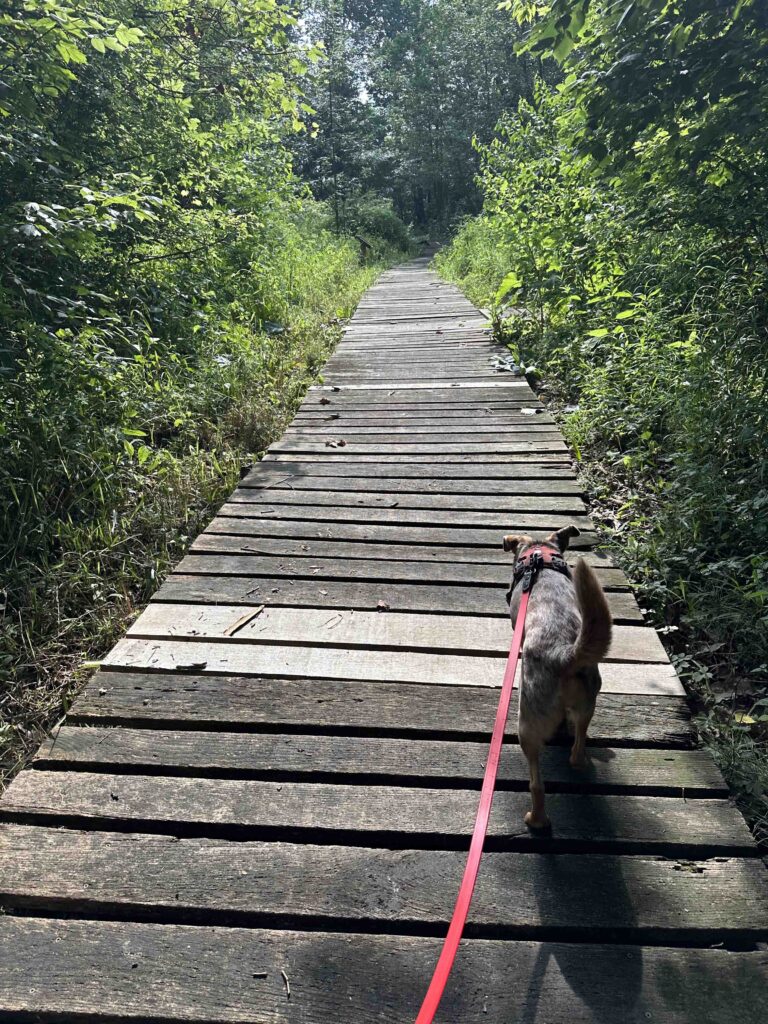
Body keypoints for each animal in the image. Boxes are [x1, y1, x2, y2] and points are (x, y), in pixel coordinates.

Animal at [505, 528, 614, 831]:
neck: (539, 557)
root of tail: (563, 654)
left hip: (527, 727)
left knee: (537, 785)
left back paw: (537, 820)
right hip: (589, 700)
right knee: (577, 746)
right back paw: (580, 758)